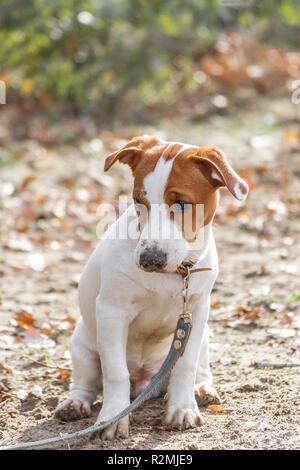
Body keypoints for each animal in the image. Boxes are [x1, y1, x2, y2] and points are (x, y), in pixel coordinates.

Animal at [55, 134, 247, 438]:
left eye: (182, 203)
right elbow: (115, 372)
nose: (149, 260)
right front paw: (112, 418)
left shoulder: (196, 311)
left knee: (199, 367)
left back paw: (202, 389)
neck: (175, 274)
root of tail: (145, 383)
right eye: (138, 200)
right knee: (86, 383)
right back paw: (75, 404)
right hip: (81, 345)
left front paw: (182, 408)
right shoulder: (112, 311)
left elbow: (186, 365)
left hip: (205, 335)